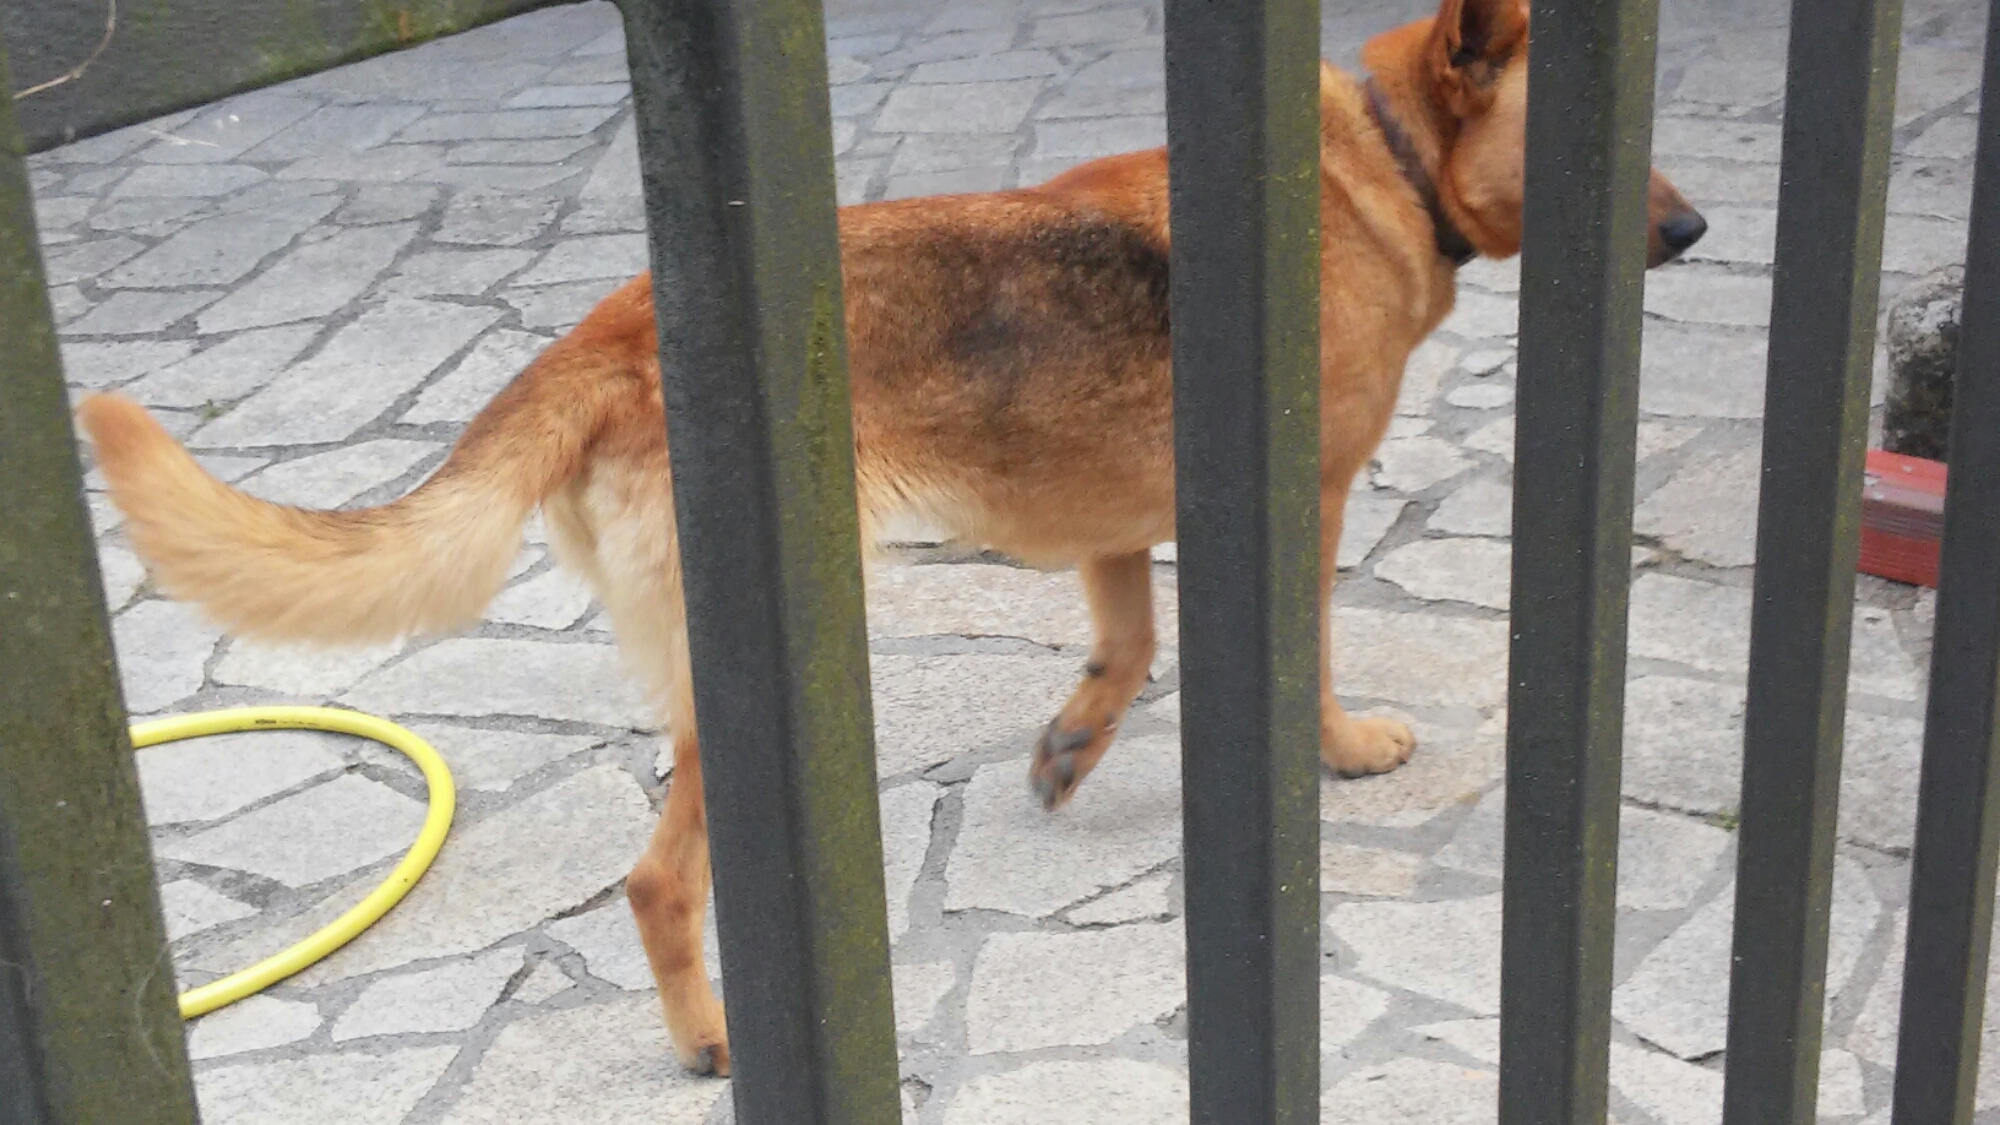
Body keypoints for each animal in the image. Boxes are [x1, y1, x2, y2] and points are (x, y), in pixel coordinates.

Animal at [78, 0, 1704, 1078]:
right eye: (1596, 149)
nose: (1692, 236)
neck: (1377, 162)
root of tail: (607, 334)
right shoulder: (1298, 512)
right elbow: (1298, 659)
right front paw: (1345, 747)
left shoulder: (1118, 528)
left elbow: (1127, 646)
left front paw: (1072, 748)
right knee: (658, 881)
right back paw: (713, 1040)